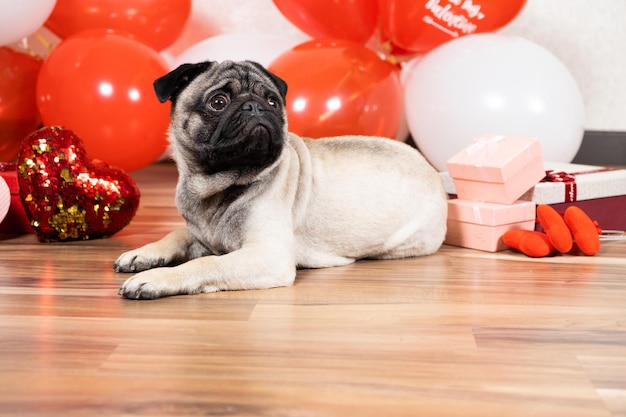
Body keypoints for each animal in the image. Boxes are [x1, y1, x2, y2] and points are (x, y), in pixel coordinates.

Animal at [114, 60, 446, 298]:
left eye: (273, 101)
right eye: (218, 102)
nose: (255, 106)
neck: (217, 186)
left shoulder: (266, 255)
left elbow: (206, 262)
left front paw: (157, 278)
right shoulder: (201, 234)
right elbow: (176, 235)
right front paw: (143, 254)